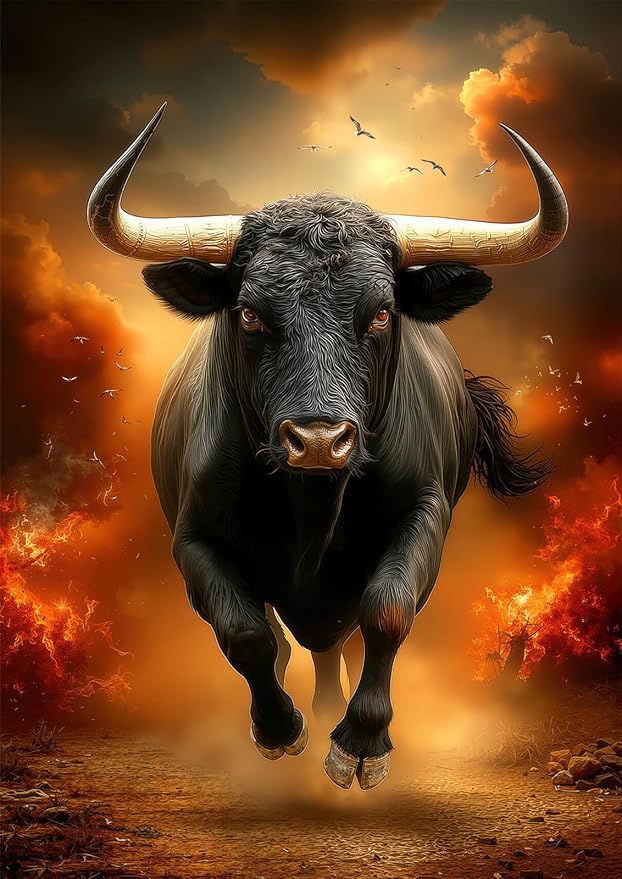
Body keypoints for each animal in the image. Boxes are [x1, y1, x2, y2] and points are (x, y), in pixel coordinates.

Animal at [87, 104, 567, 790]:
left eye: (382, 313)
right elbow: (247, 634)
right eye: (250, 314)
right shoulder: (193, 539)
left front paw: (361, 742)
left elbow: (386, 611)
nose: (319, 440)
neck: (312, 504)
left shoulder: (424, 514)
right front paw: (278, 729)